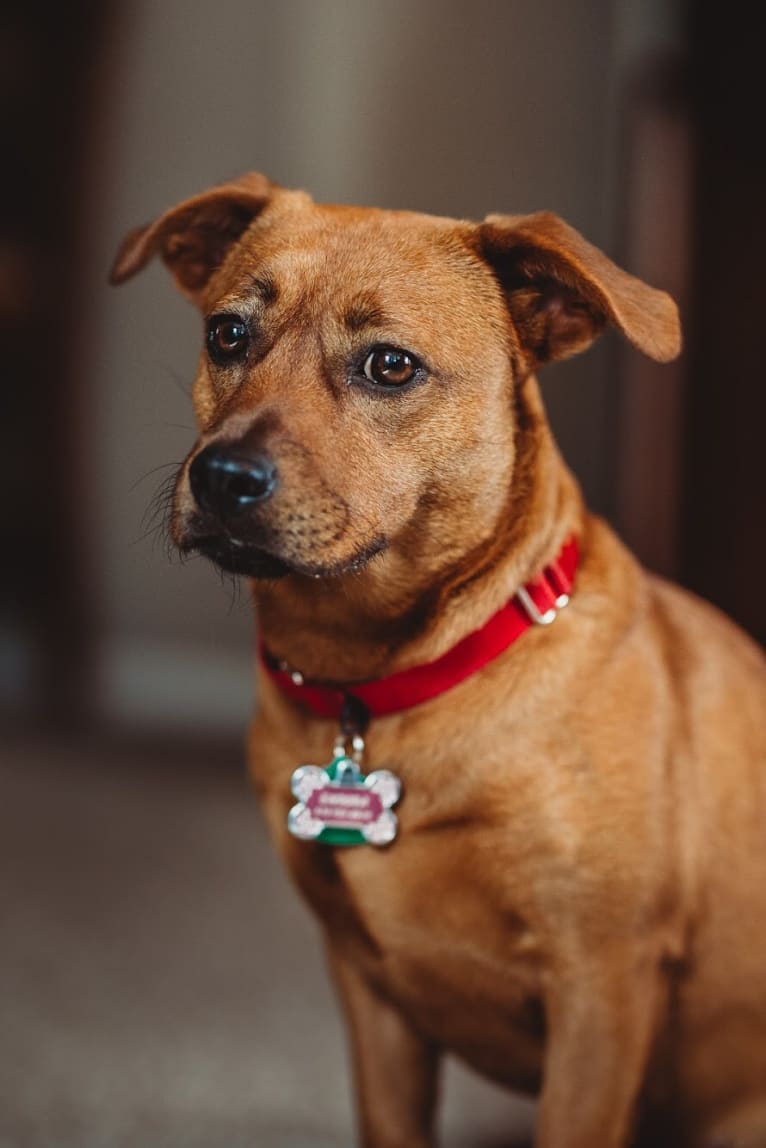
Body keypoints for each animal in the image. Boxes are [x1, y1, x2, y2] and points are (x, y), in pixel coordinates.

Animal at [110, 172, 766, 1148]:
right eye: (227, 334)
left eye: (390, 366)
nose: (221, 478)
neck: (381, 688)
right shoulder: (372, 992)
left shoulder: (603, 992)